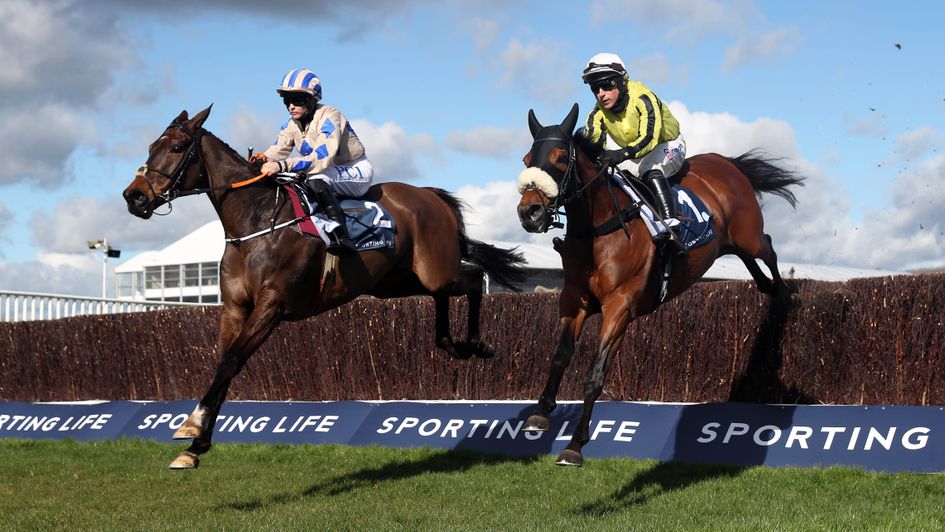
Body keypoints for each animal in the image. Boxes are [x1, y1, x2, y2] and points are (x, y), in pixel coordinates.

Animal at [121, 106, 528, 468]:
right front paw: (196, 445)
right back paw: (451, 343)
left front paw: (190, 425)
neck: (256, 223)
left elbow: (232, 360)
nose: (134, 196)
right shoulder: (235, 307)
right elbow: (224, 364)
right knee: (443, 294)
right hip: (397, 281)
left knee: (472, 280)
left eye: (177, 148)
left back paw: (477, 344)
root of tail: (430, 195)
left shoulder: (272, 305)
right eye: (150, 147)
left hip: (433, 269)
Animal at [516, 104, 804, 466]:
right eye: (527, 159)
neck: (601, 229)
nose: (529, 212)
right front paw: (539, 414)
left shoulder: (619, 308)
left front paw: (575, 445)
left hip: (747, 236)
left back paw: (785, 293)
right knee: (754, 264)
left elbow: (595, 375)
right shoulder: (573, 300)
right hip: (729, 244)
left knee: (768, 247)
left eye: (558, 158)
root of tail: (726, 162)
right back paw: (769, 289)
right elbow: (559, 356)